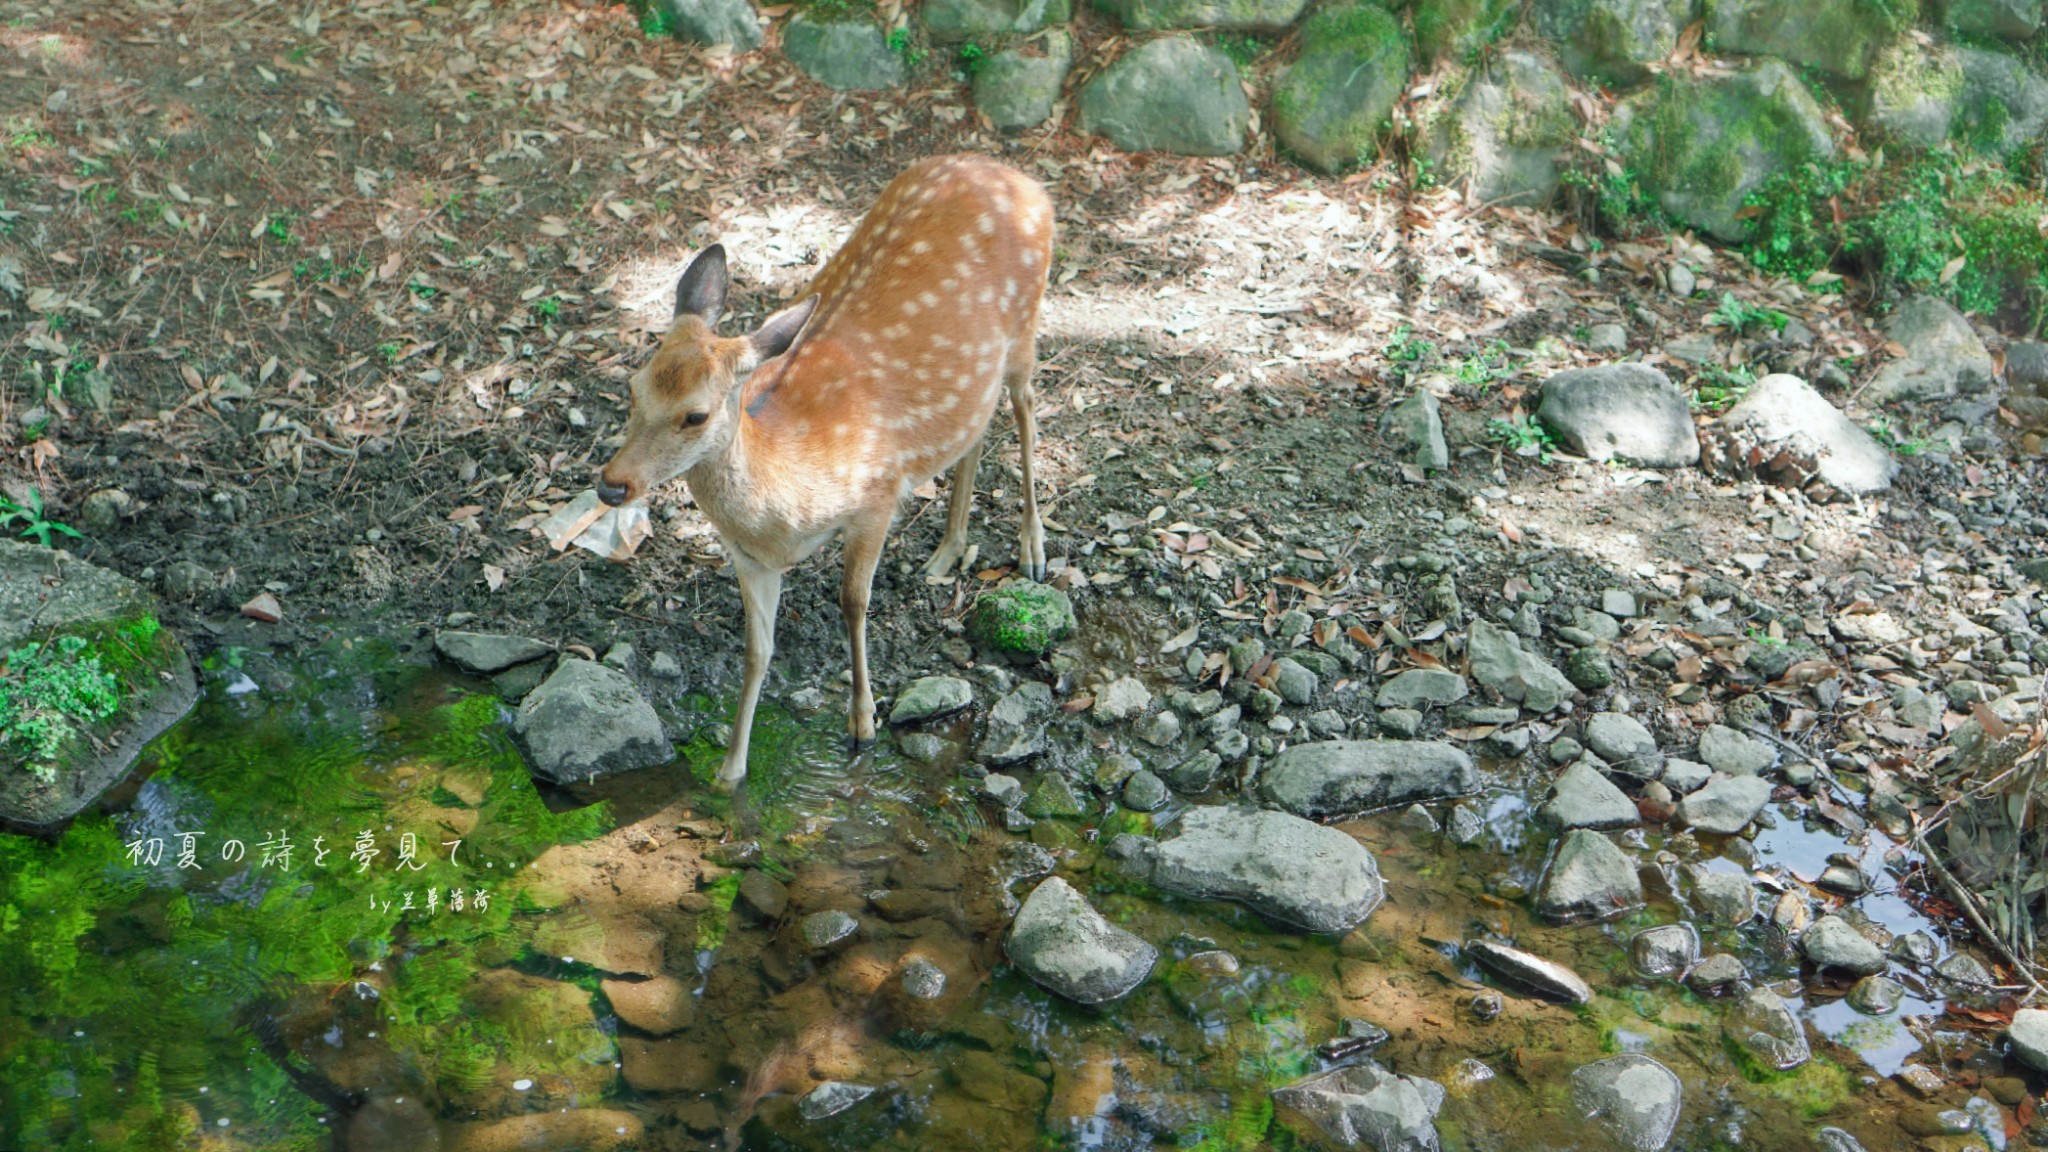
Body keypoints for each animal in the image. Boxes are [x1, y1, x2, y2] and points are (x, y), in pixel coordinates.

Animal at [598, 154, 1056, 778]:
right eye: (632, 387)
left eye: (695, 415)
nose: (613, 485)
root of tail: (1021, 178)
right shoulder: (748, 556)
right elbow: (757, 651)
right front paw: (730, 773)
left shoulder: (878, 495)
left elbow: (852, 602)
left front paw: (863, 724)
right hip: (978, 376)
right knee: (976, 429)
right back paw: (948, 549)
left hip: (1025, 329)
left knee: (1028, 407)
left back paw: (1033, 548)